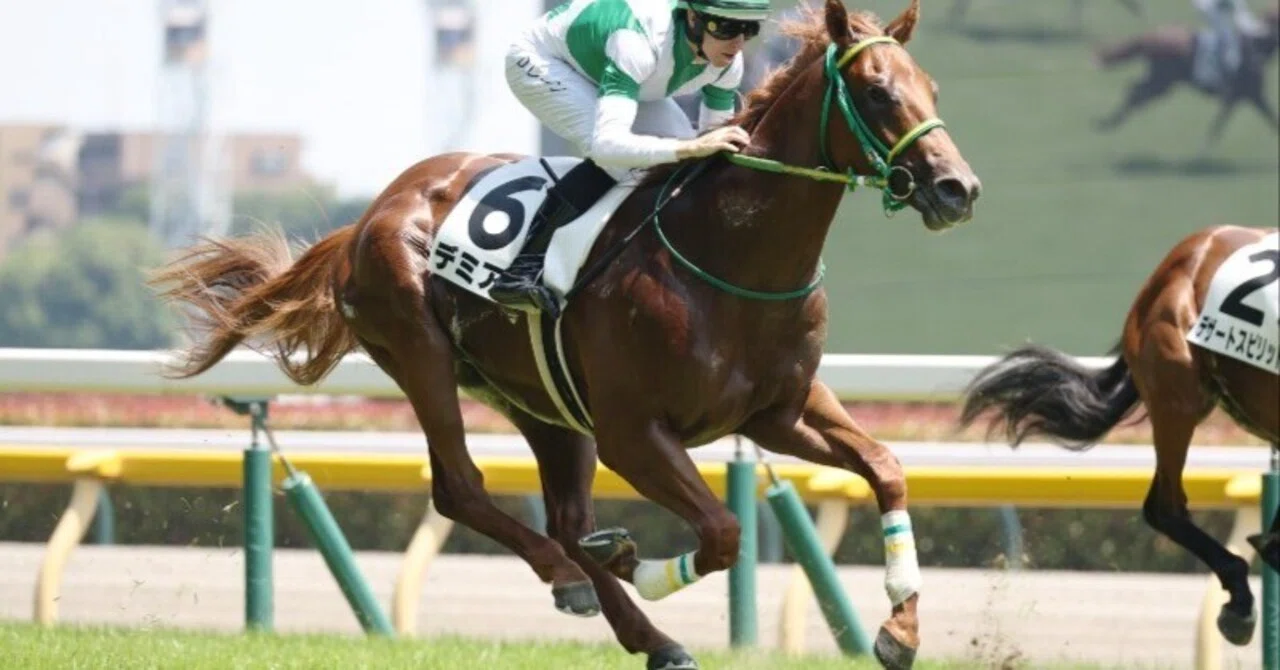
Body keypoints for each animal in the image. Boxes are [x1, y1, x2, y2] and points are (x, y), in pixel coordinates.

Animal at [148, 1, 981, 668]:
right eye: (877, 93)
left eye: (934, 91)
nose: (957, 189)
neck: (729, 255)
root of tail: (370, 214)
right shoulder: (634, 433)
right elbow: (721, 532)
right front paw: (634, 558)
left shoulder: (778, 411)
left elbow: (886, 467)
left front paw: (900, 630)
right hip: (422, 355)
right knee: (464, 489)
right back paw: (576, 578)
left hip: (542, 402)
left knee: (565, 515)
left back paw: (647, 631)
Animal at [1093, 6, 1280, 156]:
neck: (1256, 46)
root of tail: (1150, 35)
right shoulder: (1249, 94)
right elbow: (1269, 118)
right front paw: (1202, 152)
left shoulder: (1241, 96)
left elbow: (1221, 122)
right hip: (1162, 82)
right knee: (1135, 93)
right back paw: (1108, 123)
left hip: (1159, 81)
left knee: (1134, 91)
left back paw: (1108, 122)